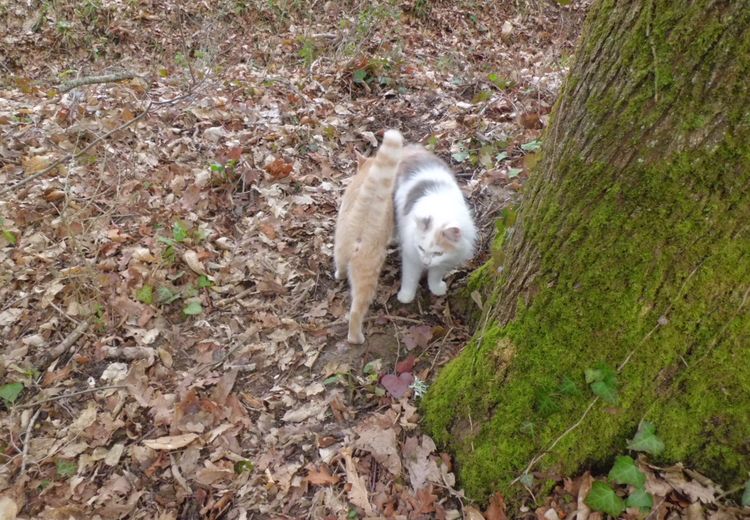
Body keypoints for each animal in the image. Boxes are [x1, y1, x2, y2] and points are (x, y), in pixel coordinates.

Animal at [336, 128, 406, 344]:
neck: (368, 172)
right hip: (368, 273)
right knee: (356, 312)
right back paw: (356, 338)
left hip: (339, 245)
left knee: (340, 265)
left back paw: (339, 275)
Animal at [394, 144, 476, 302]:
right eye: (421, 248)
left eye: (438, 253)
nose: (426, 263)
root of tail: (413, 149)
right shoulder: (411, 256)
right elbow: (410, 279)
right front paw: (405, 297)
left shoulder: (444, 261)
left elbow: (435, 276)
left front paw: (436, 289)